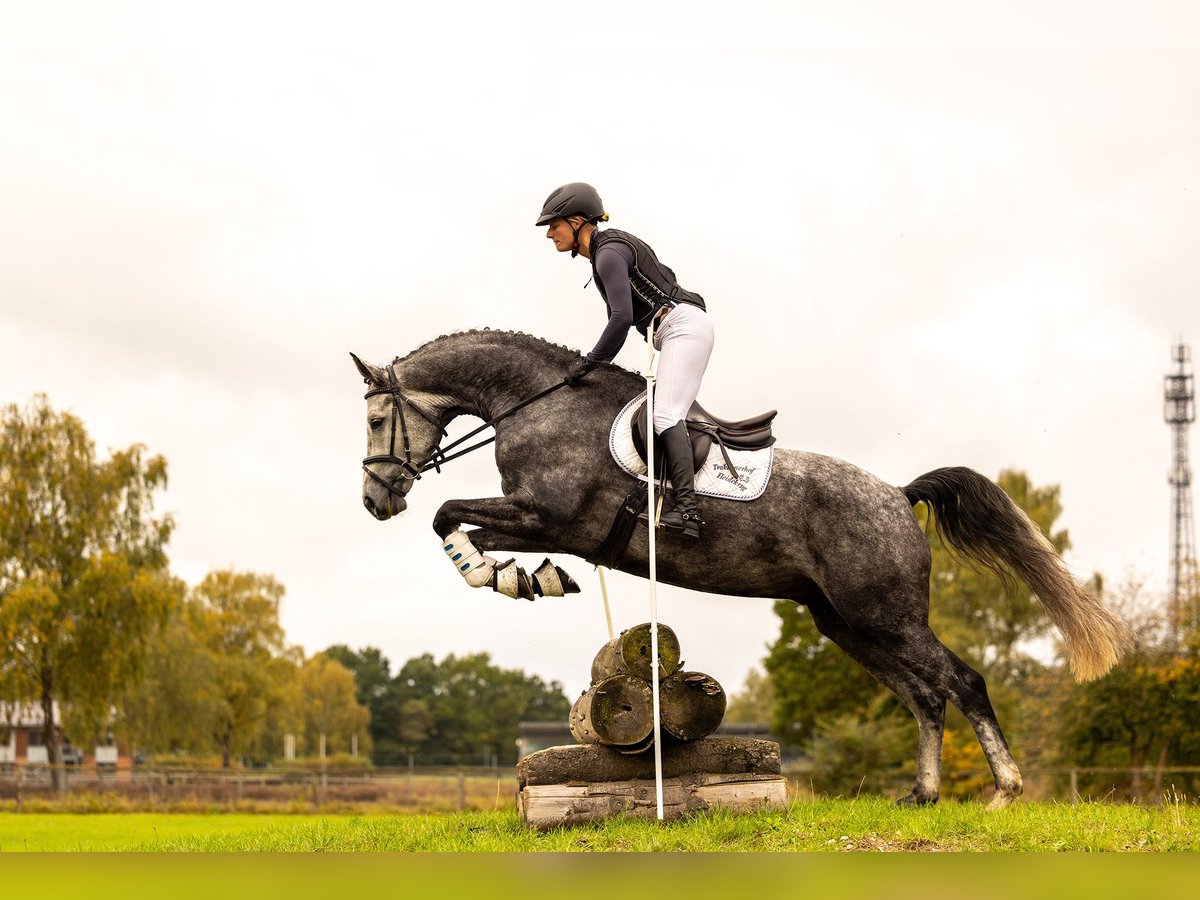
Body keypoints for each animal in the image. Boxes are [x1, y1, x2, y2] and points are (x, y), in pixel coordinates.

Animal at [351, 328, 1129, 808]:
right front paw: (527, 577)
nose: (374, 501)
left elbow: (447, 514)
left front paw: (513, 576)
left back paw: (1003, 792)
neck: (535, 406)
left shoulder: (552, 518)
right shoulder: (542, 521)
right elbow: (456, 520)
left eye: (374, 422)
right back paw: (925, 794)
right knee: (924, 695)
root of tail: (896, 493)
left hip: (885, 614)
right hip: (846, 623)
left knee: (961, 682)